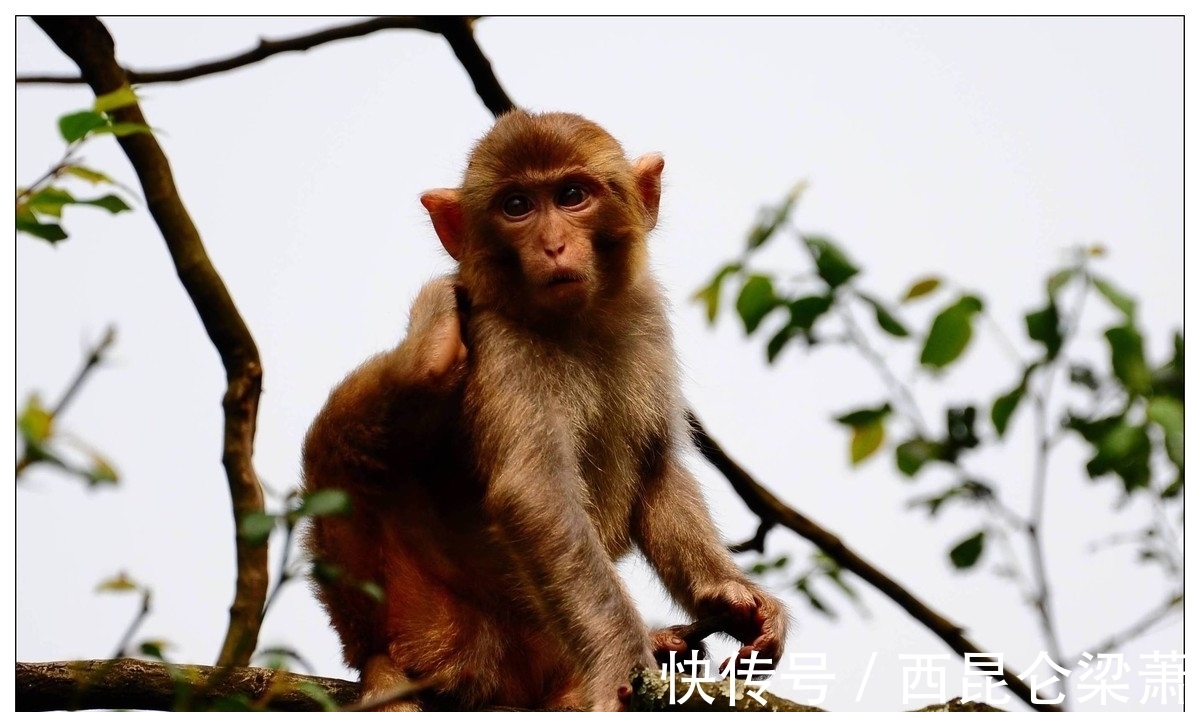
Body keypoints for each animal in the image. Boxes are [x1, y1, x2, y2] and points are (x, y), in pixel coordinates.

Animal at [300, 111, 787, 710]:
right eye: (516, 206)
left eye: (572, 196)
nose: (553, 245)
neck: (575, 322)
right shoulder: (502, 345)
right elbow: (536, 496)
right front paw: (620, 659)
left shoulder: (646, 315)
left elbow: (658, 469)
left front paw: (730, 594)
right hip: (429, 618)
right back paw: (431, 346)